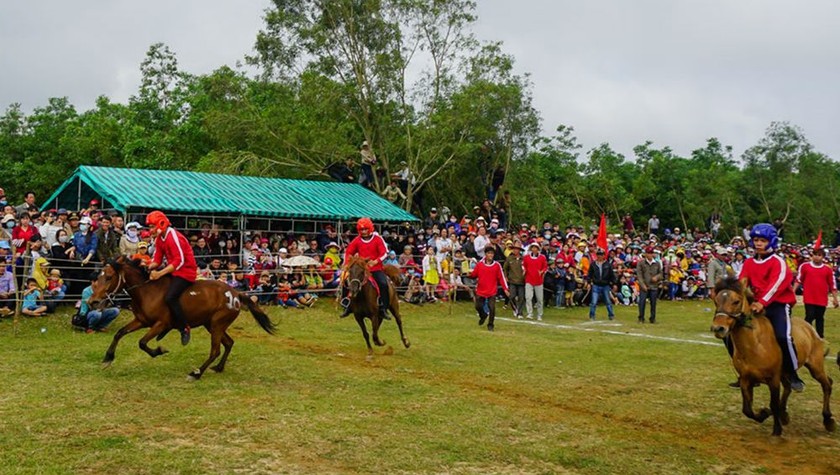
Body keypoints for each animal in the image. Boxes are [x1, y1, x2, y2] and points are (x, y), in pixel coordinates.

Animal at [91, 256, 276, 380]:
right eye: (98, 277)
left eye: (109, 277)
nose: (94, 301)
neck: (147, 291)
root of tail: (236, 293)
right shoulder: (141, 321)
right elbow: (120, 333)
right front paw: (108, 358)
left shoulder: (160, 324)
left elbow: (142, 343)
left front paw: (159, 350)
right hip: (211, 324)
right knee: (229, 343)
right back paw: (218, 367)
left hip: (217, 324)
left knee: (215, 350)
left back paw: (196, 373)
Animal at [708, 278, 832, 436]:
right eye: (716, 301)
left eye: (736, 301)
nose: (718, 328)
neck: (754, 344)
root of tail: (810, 328)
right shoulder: (746, 379)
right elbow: (747, 409)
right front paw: (764, 414)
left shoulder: (773, 380)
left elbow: (773, 404)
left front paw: (776, 429)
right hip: (786, 373)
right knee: (788, 388)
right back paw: (784, 414)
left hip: (816, 367)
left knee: (827, 385)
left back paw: (828, 419)